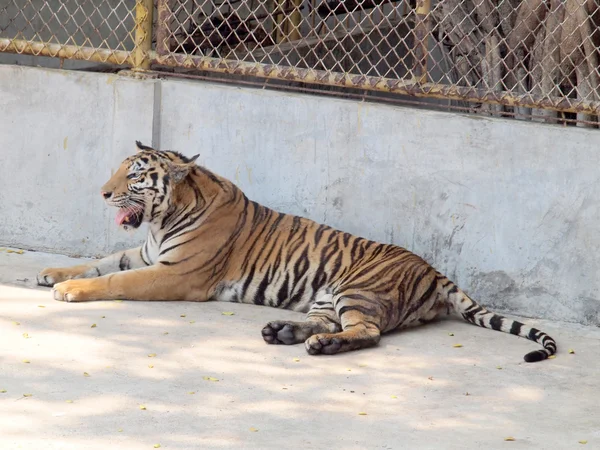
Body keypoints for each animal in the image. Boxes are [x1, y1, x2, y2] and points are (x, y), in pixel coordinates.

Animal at [37, 141, 556, 362]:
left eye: (134, 176)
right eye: (117, 170)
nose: (103, 193)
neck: (165, 216)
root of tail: (434, 270)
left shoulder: (174, 273)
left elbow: (113, 278)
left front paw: (70, 289)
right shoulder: (146, 255)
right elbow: (102, 261)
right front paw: (51, 272)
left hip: (357, 290)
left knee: (368, 332)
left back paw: (317, 346)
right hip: (327, 295)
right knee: (330, 323)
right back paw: (283, 332)